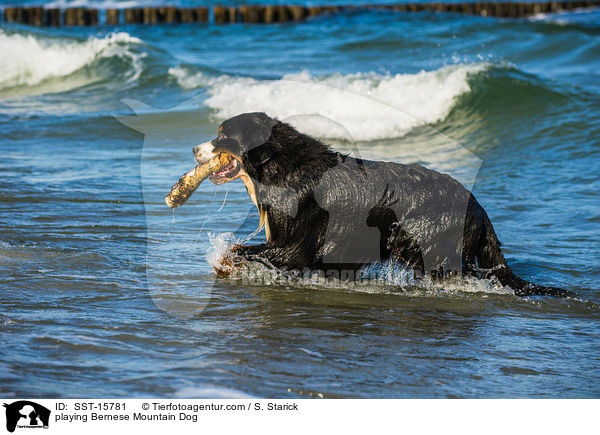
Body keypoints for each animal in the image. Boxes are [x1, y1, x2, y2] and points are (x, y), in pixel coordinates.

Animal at [195, 110, 576, 298]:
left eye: (223, 135)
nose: (196, 149)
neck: (279, 166)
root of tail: (477, 207)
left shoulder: (292, 246)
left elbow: (239, 252)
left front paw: (223, 264)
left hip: (428, 247)